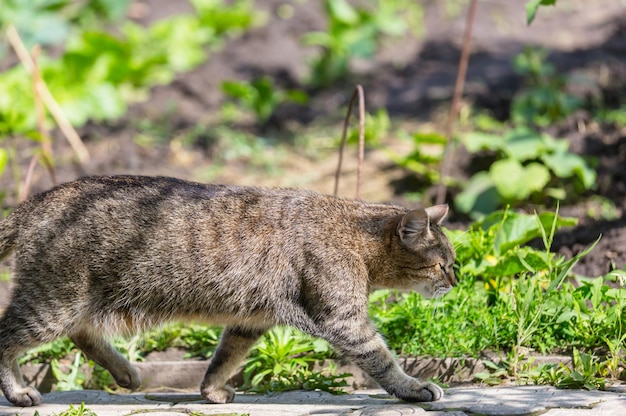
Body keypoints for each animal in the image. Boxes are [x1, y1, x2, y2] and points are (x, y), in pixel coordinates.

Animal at [0, 175, 454, 406]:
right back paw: (19, 391)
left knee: (82, 334)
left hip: (78, 302)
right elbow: (381, 359)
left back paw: (126, 372)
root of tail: (37, 200)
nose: (456, 280)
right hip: (54, 302)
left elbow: (224, 359)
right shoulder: (344, 319)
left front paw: (211, 391)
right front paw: (413, 388)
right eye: (443, 264)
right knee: (9, 335)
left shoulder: (250, 321)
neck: (357, 236)